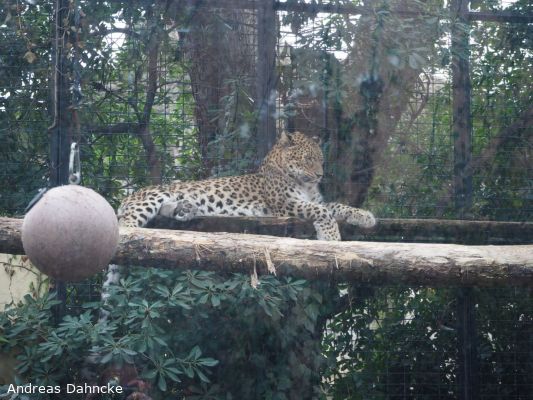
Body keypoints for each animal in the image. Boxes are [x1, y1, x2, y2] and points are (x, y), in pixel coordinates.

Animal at [117, 131, 376, 240]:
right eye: (307, 159)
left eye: (321, 160)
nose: (320, 175)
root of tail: (129, 196)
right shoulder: (287, 205)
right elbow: (322, 211)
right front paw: (331, 236)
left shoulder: (312, 200)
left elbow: (337, 205)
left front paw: (365, 216)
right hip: (151, 197)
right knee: (126, 224)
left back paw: (185, 209)